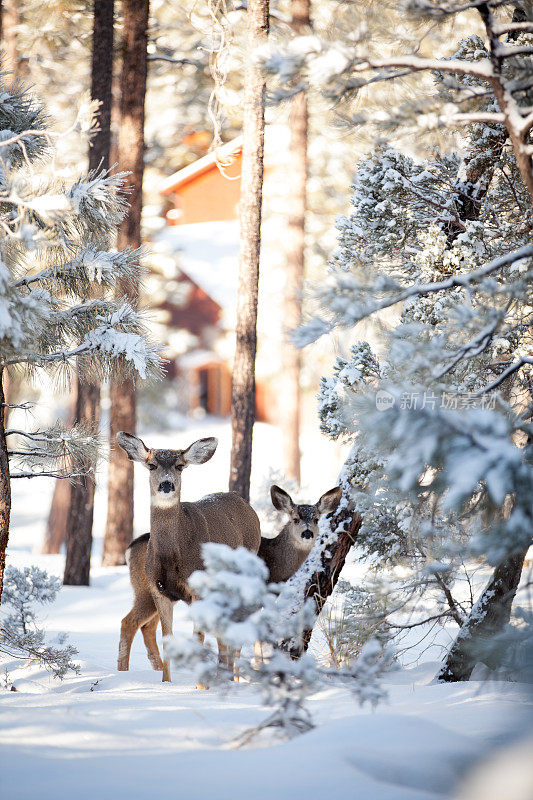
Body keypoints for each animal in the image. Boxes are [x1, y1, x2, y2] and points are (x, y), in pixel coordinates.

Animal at [115, 432, 260, 680]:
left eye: (180, 466)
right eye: (151, 465)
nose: (166, 484)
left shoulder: (198, 590)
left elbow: (198, 638)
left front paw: (200, 685)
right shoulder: (159, 590)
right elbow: (168, 639)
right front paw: (166, 682)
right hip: (145, 591)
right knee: (132, 623)